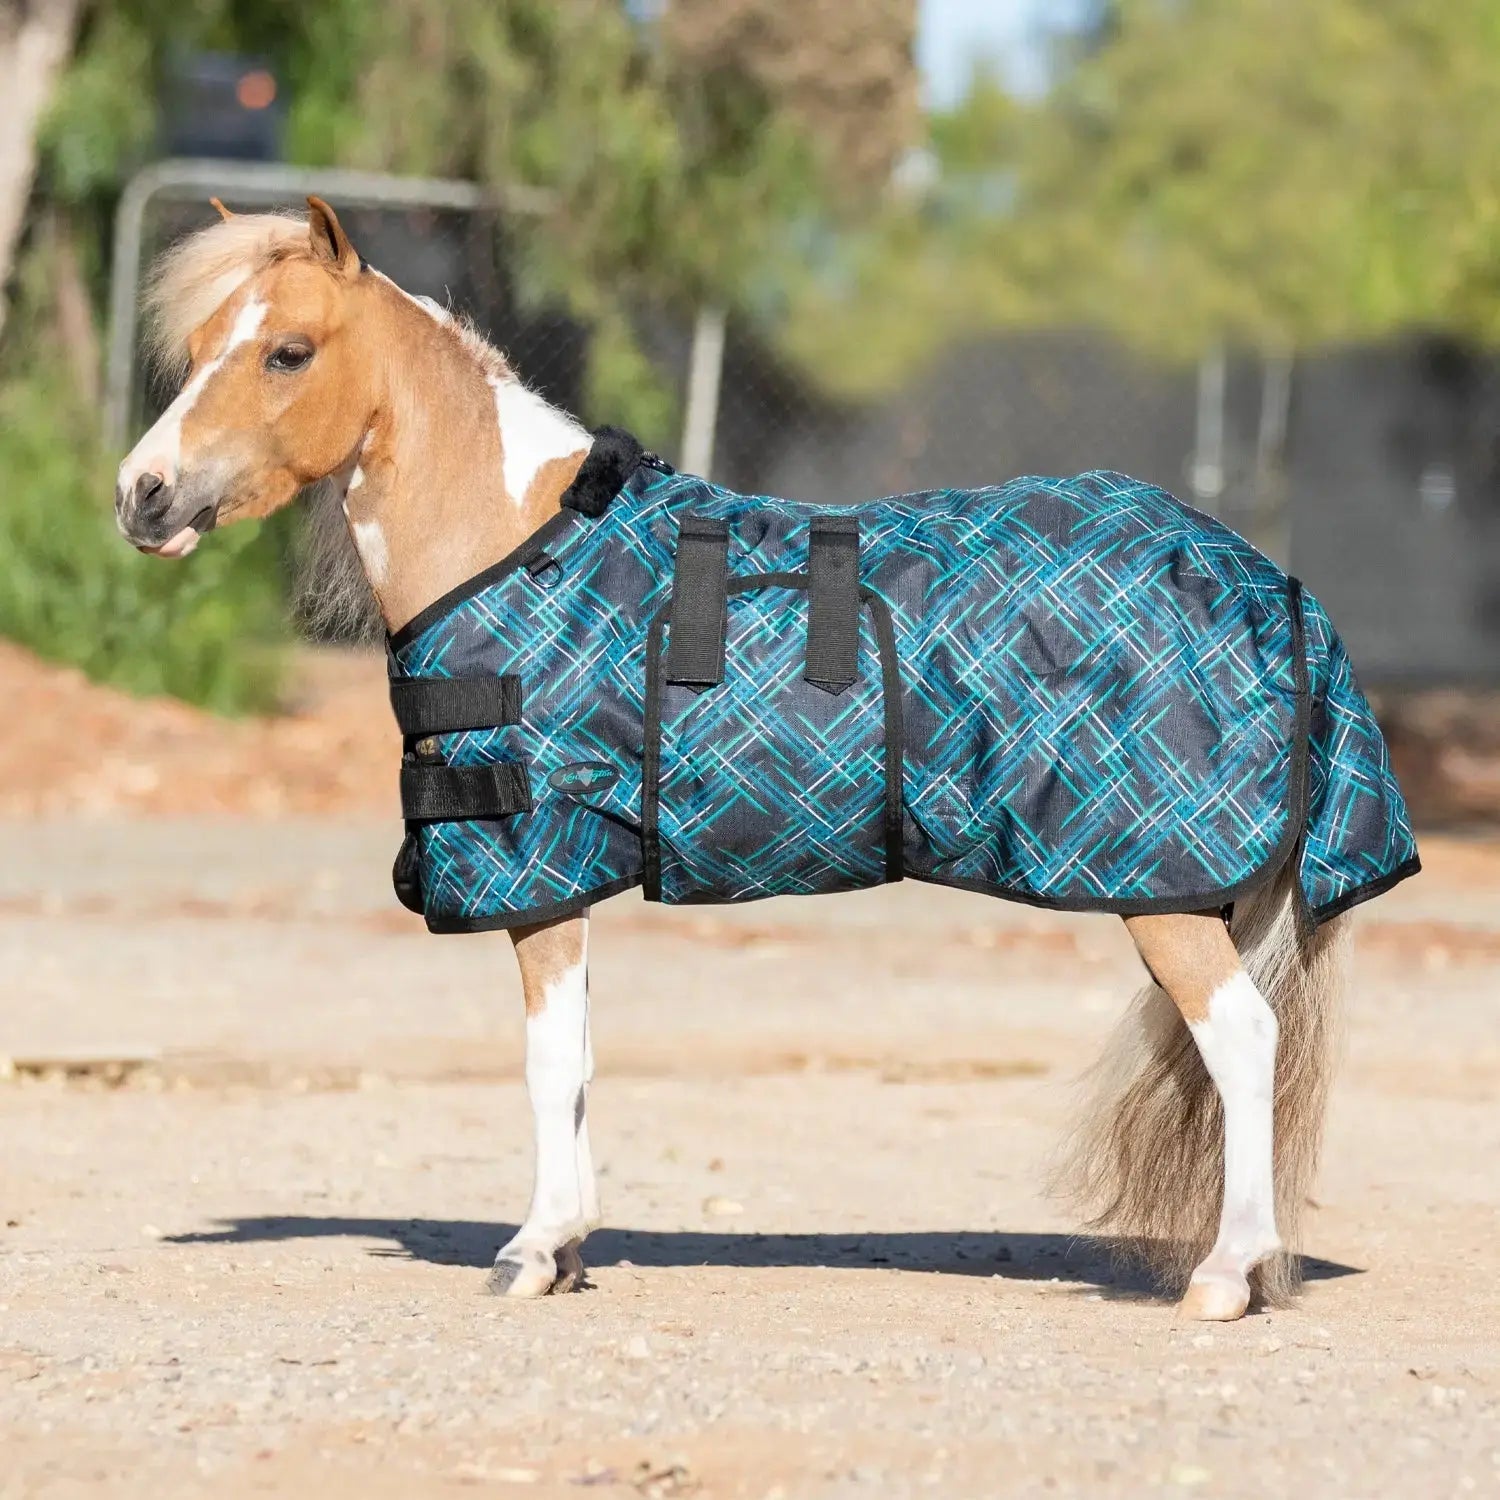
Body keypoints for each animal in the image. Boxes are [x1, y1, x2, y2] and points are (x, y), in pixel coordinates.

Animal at [113, 197, 1415, 1321]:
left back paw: (1226, 1277)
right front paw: (570, 1247)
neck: (519, 544)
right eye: (203, 347)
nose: (142, 496)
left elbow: (547, 1064)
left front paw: (533, 1251)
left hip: (1165, 896)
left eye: (287, 352)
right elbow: (579, 1061)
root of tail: (1270, 582)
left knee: (1245, 1043)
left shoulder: (536, 872)